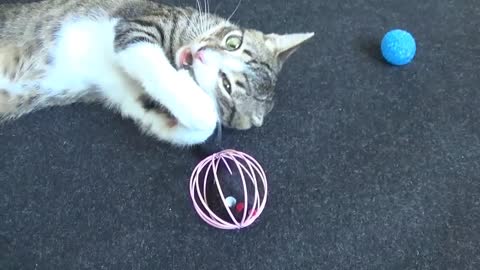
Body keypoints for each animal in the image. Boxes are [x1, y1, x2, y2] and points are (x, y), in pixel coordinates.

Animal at [0, 0, 314, 146]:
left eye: (226, 86)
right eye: (232, 42)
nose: (201, 53)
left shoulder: (124, 93)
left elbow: (189, 128)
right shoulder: (136, 22)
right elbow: (150, 58)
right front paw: (198, 102)